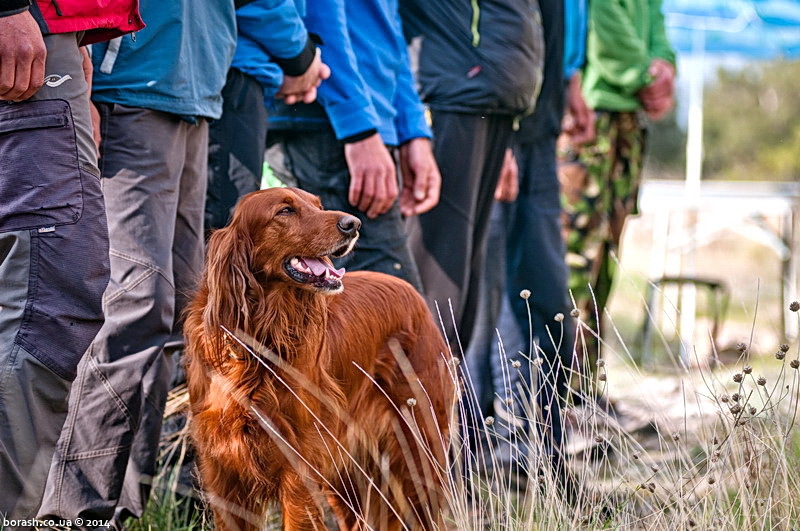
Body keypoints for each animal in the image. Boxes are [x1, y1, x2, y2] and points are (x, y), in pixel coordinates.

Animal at [184, 188, 454, 531]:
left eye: (318, 205)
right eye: (285, 211)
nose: (354, 224)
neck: (262, 341)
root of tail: (413, 294)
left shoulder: (299, 470)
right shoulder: (224, 476)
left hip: (416, 454)